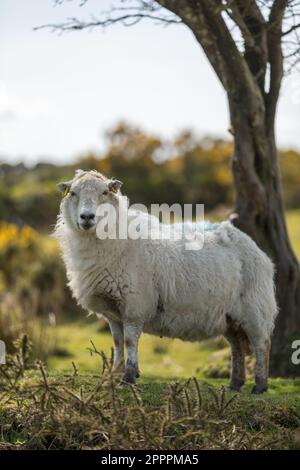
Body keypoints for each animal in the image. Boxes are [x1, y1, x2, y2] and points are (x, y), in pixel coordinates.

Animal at [55, 170, 278, 392]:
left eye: (104, 192)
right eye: (73, 193)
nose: (87, 217)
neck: (117, 242)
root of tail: (252, 245)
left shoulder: (135, 306)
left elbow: (129, 341)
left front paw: (128, 377)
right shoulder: (113, 311)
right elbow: (117, 343)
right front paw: (114, 375)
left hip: (255, 307)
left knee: (262, 344)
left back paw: (260, 385)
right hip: (230, 316)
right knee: (237, 346)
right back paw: (235, 383)